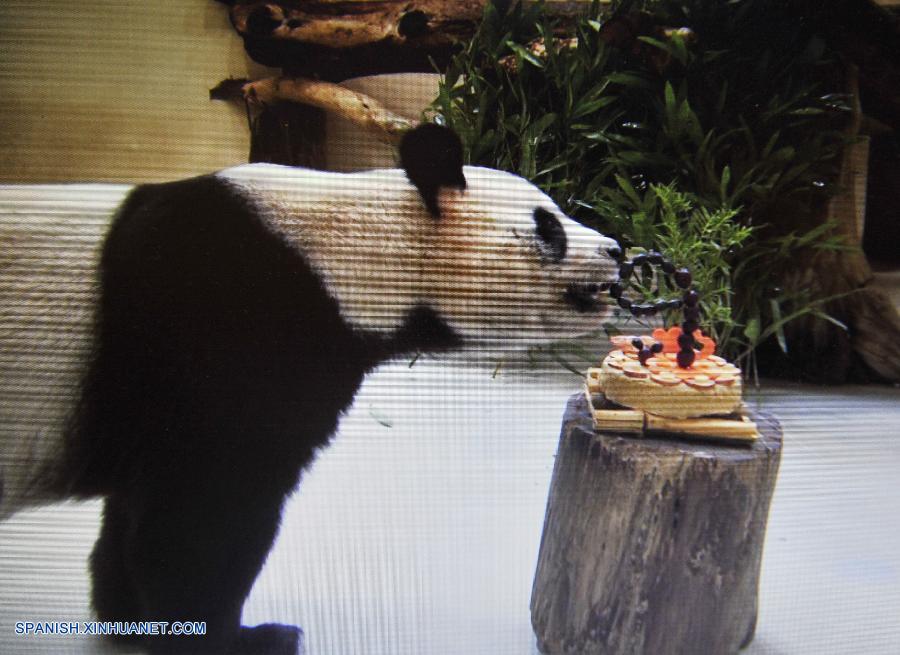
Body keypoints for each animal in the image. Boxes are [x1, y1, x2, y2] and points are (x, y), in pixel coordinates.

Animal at [0, 125, 620, 652]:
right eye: (547, 227)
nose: (616, 251)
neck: (347, 253)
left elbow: (137, 509)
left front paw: (125, 618)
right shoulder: (230, 335)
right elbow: (204, 515)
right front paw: (246, 639)